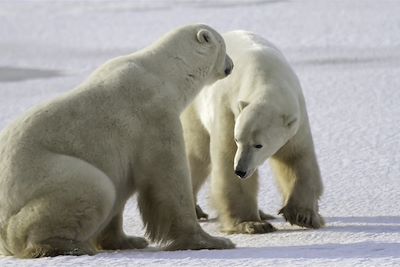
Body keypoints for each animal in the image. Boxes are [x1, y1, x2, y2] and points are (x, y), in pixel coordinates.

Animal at [0, 24, 234, 258]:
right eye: (223, 46)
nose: (231, 65)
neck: (165, 73)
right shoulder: (154, 114)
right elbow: (169, 177)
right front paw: (213, 241)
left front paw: (129, 240)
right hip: (43, 175)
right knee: (96, 187)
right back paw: (66, 245)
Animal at [182, 30, 324, 234]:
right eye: (237, 139)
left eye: (259, 145)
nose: (240, 170)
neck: (266, 77)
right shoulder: (228, 109)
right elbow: (226, 160)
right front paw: (252, 224)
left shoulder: (297, 121)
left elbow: (296, 158)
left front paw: (303, 215)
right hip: (196, 109)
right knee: (197, 155)